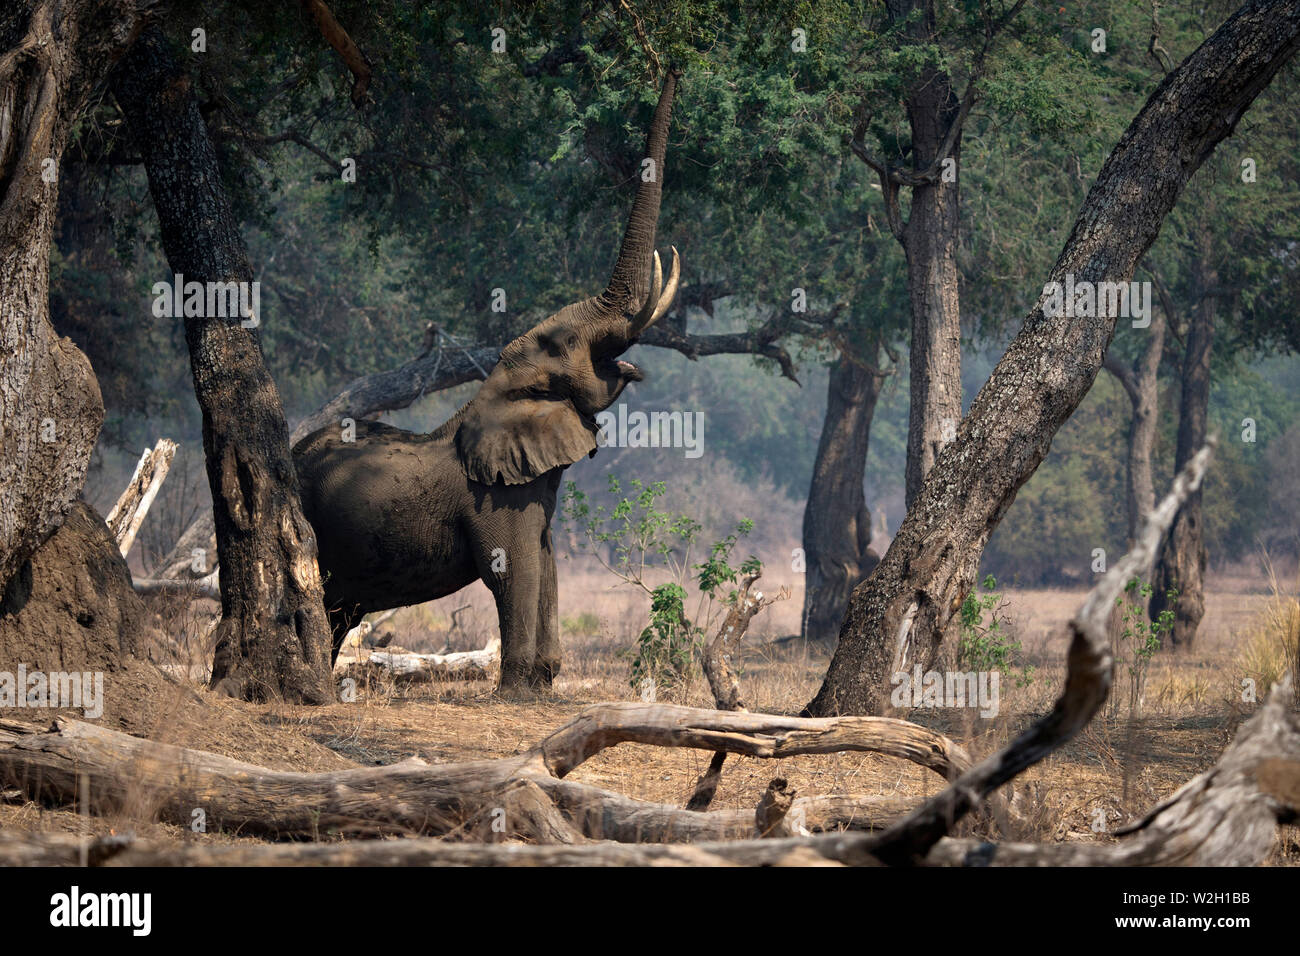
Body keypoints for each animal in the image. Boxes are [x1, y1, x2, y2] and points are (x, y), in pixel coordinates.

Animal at [293, 72, 682, 698]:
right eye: (560, 345)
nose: (669, 64)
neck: (494, 392)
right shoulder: (494, 495)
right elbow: (515, 570)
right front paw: (519, 692)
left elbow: (547, 564)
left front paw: (542, 687)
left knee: (337, 615)